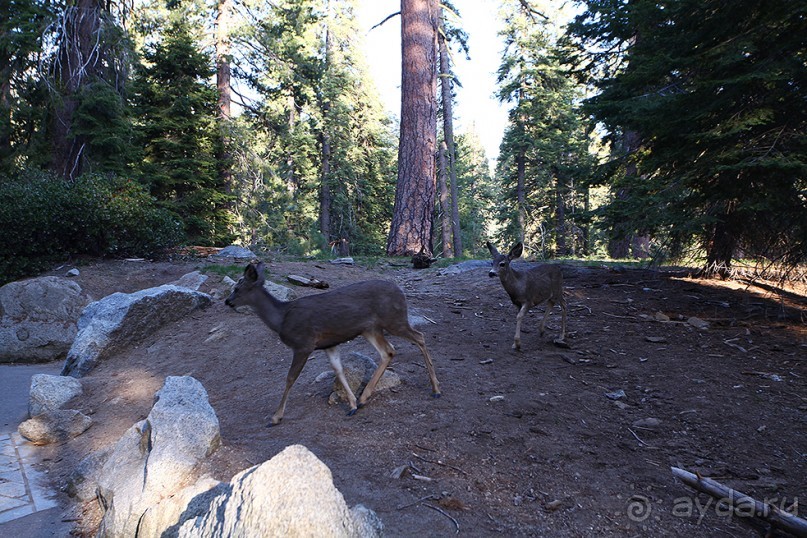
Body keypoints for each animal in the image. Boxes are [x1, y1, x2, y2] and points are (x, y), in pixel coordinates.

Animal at [226, 262, 442, 426]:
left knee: (420, 337)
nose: (228, 302)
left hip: (393, 320)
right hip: (371, 328)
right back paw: (364, 398)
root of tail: (401, 292)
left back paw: (436, 389)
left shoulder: (303, 344)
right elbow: (338, 370)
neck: (281, 318)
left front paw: (275, 417)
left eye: (237, 288)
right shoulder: (328, 344)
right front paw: (352, 405)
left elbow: (289, 378)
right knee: (388, 351)